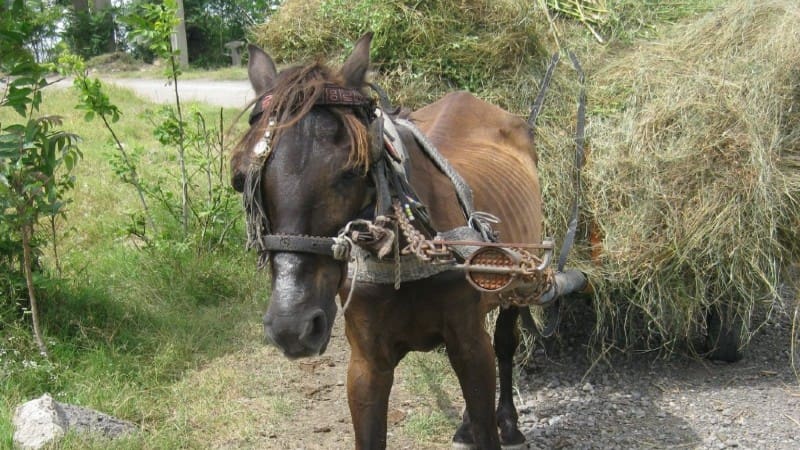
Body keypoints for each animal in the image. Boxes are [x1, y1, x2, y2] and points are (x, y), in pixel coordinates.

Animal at [228, 32, 584, 450]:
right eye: (240, 179)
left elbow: (486, 397)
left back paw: (509, 423)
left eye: (354, 170)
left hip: (519, 282)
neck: (406, 254)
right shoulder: (367, 365)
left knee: (504, 344)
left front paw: (495, 425)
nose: (292, 326)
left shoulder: (470, 346)